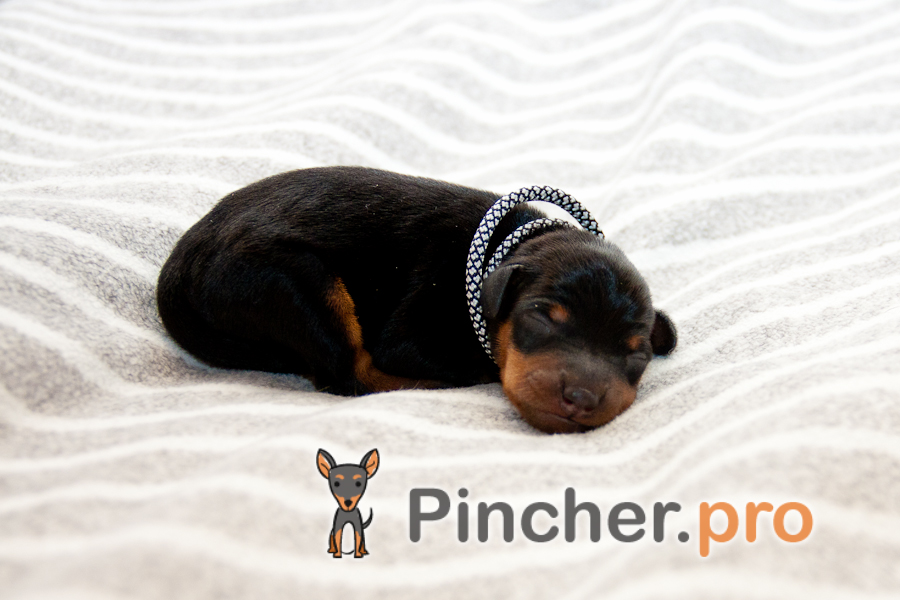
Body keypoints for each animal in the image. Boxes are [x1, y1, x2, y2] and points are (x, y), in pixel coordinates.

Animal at [157, 166, 676, 433]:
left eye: (637, 355)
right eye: (542, 319)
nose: (582, 398)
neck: (507, 244)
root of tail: (179, 266)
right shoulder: (413, 333)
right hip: (300, 284)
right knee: (349, 374)